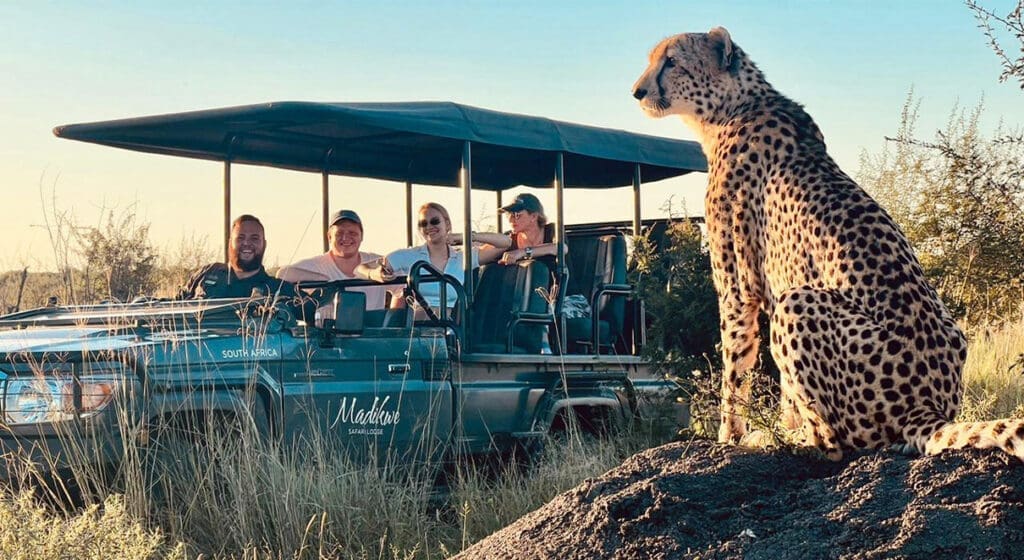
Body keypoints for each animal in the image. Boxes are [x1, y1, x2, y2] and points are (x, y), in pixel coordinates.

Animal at [632, 26, 1024, 461]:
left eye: (671, 61)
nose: (637, 91)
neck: (733, 107)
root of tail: (928, 409)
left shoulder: (738, 290)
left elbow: (734, 366)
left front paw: (728, 436)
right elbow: (784, 391)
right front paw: (769, 425)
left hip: (797, 303)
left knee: (834, 443)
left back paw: (778, 439)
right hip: (952, 331)